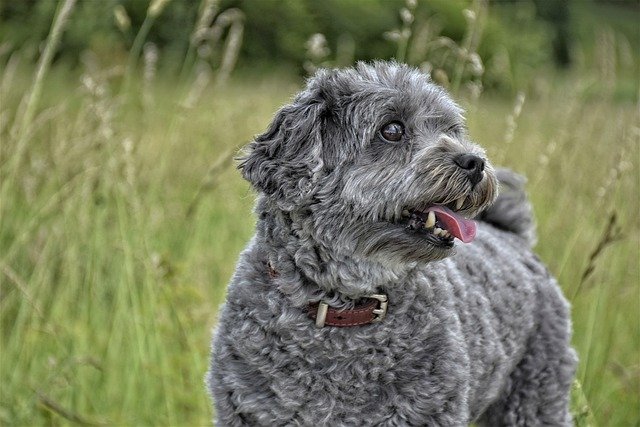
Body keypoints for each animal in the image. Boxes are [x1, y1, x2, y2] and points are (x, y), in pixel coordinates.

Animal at [208, 61, 576, 426]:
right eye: (392, 129)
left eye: (451, 130)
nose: (475, 163)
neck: (345, 309)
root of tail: (512, 236)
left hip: (536, 397)